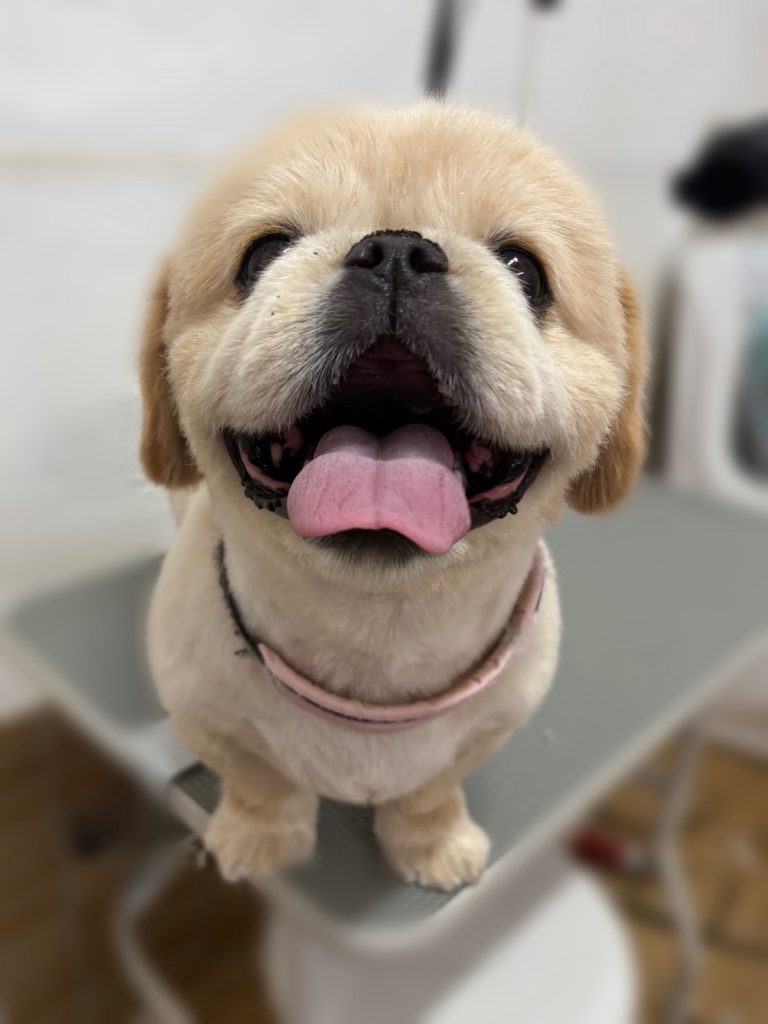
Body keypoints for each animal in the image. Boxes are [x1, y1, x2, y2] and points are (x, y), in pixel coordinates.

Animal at [139, 103, 646, 891]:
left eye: (524, 269)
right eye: (262, 254)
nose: (398, 250)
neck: (377, 639)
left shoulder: (487, 727)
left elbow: (430, 789)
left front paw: (431, 843)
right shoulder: (209, 719)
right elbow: (261, 781)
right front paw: (261, 839)